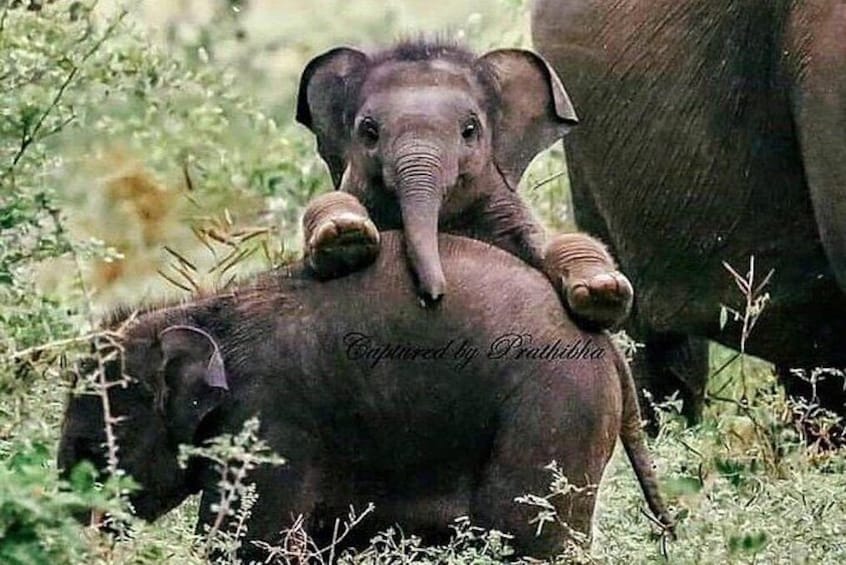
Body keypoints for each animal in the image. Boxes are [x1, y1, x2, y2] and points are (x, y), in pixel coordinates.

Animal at [58, 232, 676, 560]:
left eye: (94, 449)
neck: (205, 311)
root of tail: (607, 345)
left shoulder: (267, 424)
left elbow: (248, 543)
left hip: (553, 412)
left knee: (527, 537)